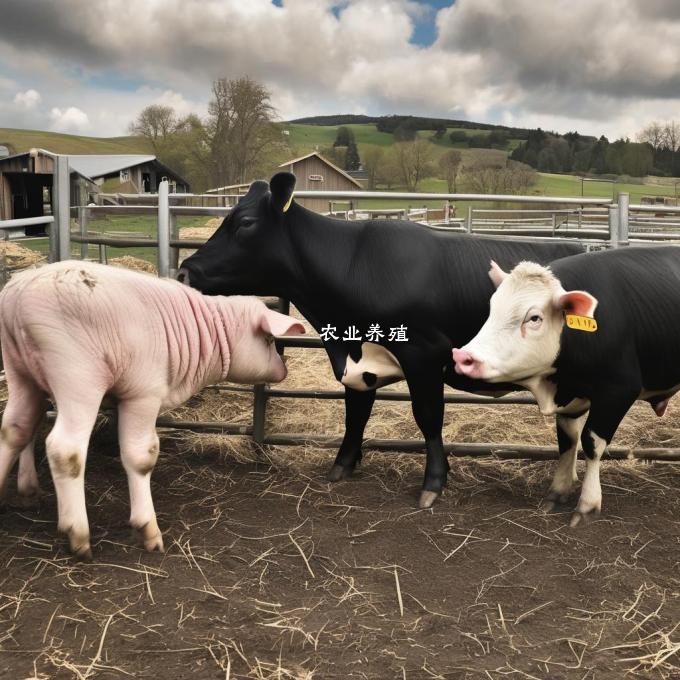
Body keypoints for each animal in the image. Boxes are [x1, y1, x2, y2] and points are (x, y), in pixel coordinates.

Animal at [0, 260, 304, 556]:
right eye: (268, 339)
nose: (283, 370)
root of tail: (19, 294)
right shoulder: (143, 394)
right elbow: (140, 456)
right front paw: (147, 529)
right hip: (77, 376)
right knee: (65, 450)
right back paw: (78, 535)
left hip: (21, 374)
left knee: (15, 430)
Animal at [177, 173, 584, 508]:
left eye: (245, 223)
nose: (184, 271)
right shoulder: (358, 361)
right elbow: (355, 414)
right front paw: (342, 465)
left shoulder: (423, 354)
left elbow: (428, 417)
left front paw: (433, 483)